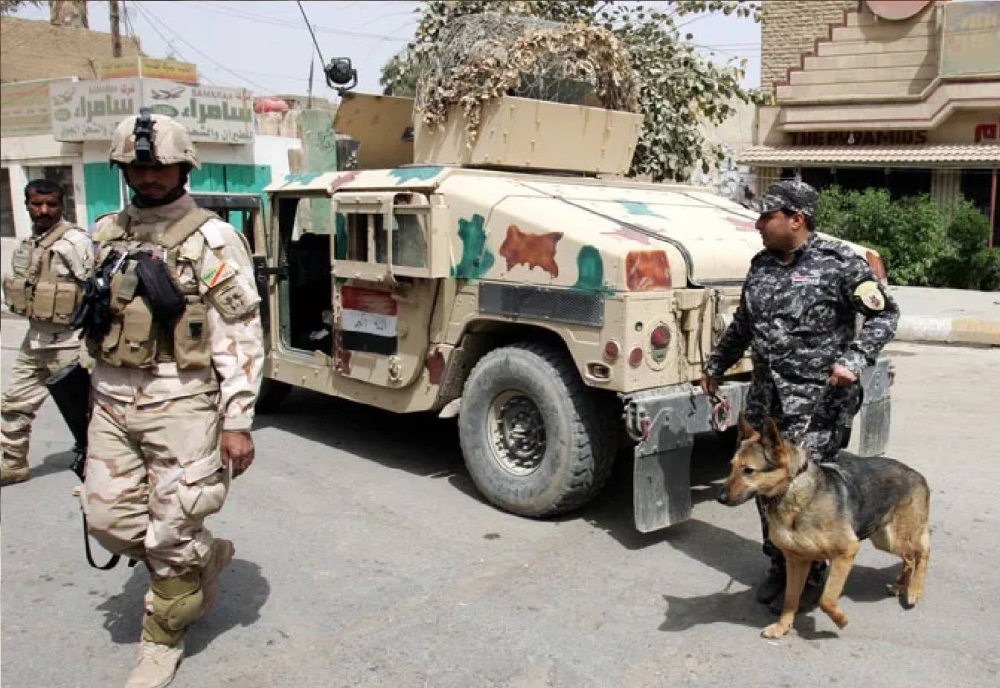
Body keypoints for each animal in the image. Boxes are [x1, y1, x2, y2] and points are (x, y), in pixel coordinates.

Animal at [717, 413, 931, 639]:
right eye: (731, 466)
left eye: (749, 470)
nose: (720, 498)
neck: (791, 491)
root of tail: (916, 473)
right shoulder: (797, 561)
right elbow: (790, 598)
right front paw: (782, 626)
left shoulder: (846, 552)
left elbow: (826, 599)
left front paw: (841, 619)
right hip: (885, 539)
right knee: (909, 558)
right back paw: (900, 586)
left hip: (898, 535)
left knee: (922, 553)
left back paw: (915, 590)